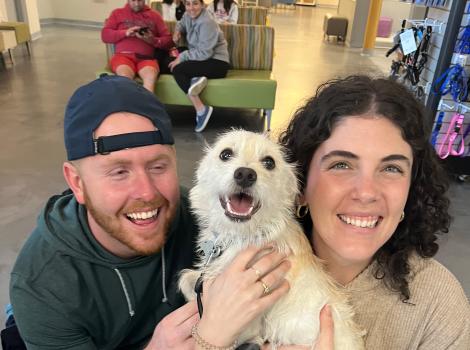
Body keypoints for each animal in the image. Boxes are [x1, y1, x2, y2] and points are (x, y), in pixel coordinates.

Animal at [179, 130, 364, 348]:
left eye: (269, 162)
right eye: (225, 154)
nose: (245, 174)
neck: (245, 234)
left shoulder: (250, 325)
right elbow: (188, 279)